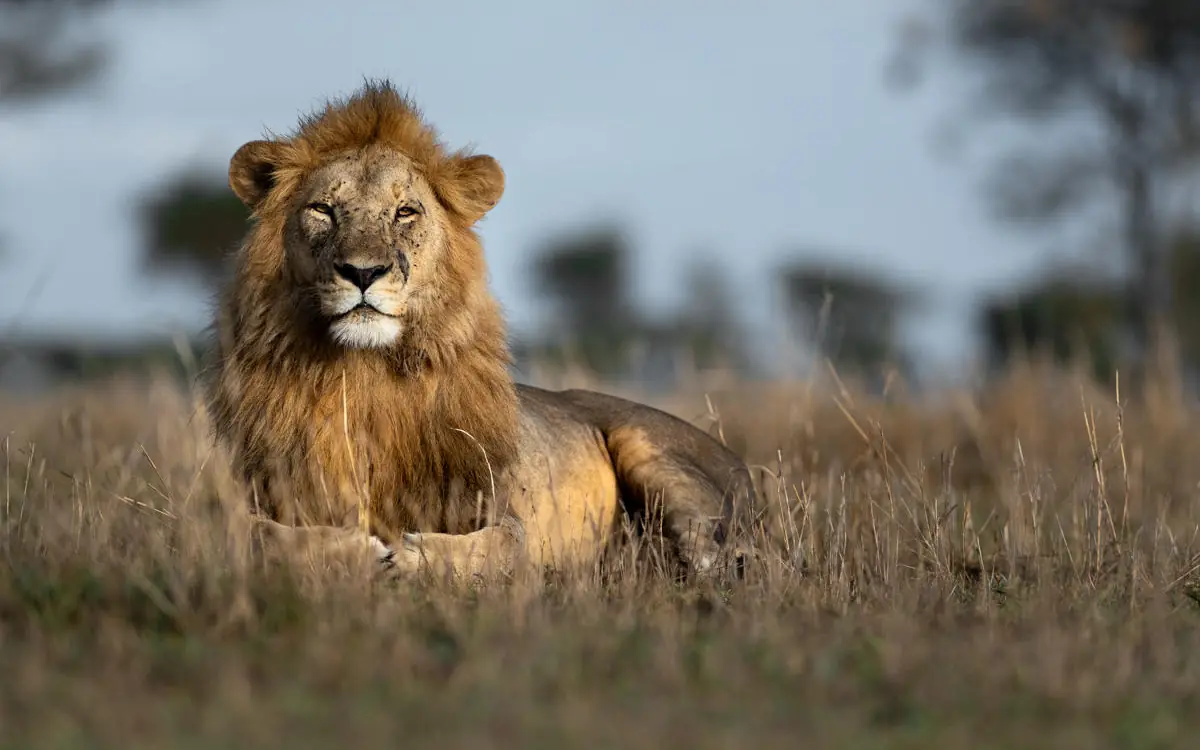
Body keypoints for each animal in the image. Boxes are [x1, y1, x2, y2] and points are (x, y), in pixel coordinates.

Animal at [204, 80, 758, 582]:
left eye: (405, 211)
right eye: (322, 210)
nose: (363, 272)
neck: (365, 379)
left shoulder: (494, 507)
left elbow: (504, 543)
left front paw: (413, 556)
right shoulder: (260, 497)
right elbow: (257, 536)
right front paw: (357, 550)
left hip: (648, 448)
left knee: (714, 556)